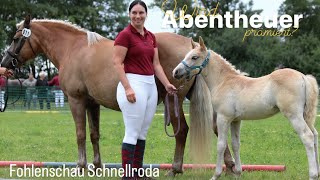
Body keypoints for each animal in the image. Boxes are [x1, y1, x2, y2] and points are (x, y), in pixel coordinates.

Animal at [0, 15, 235, 176]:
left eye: (15, 38)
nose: (5, 63)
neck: (74, 49)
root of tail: (189, 45)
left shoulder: (76, 100)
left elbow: (80, 134)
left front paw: (81, 167)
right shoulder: (92, 103)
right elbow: (94, 134)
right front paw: (97, 166)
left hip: (174, 99)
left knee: (182, 131)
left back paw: (176, 168)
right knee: (217, 129)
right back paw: (231, 166)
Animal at [174, 36, 318, 179]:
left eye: (194, 57)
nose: (175, 72)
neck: (223, 81)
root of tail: (303, 77)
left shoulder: (223, 118)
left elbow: (221, 145)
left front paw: (216, 175)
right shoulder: (236, 120)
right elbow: (235, 144)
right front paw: (238, 172)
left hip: (294, 116)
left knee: (307, 137)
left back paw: (313, 174)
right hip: (305, 115)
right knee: (315, 135)